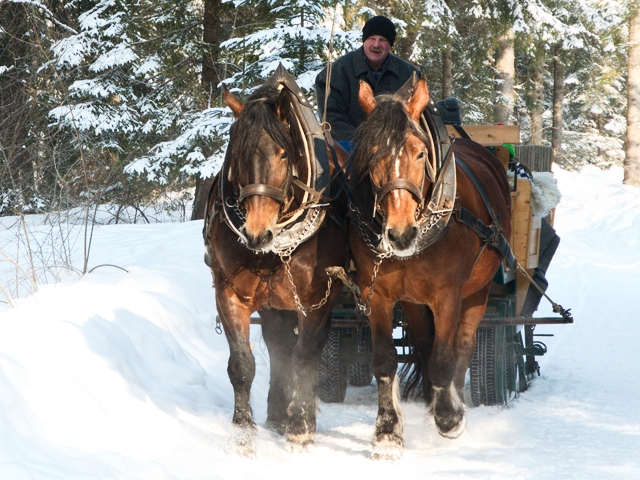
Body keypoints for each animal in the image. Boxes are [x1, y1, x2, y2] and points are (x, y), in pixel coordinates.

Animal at [204, 81, 348, 454]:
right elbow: (243, 364)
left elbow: (304, 357)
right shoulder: (229, 293)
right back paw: (277, 413)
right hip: (274, 303)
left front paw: (301, 428)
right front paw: (243, 433)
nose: (257, 232)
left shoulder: (314, 300)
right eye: (238, 154)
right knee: (278, 344)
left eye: (284, 153)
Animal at [348, 79, 512, 462]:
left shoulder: (447, 296)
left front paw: (449, 418)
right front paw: (387, 433)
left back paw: (453, 401)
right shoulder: (377, 295)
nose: (400, 233)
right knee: (424, 343)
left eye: (420, 153)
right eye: (370, 154)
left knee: (461, 348)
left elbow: (443, 359)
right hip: (413, 302)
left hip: (478, 291)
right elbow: (385, 361)